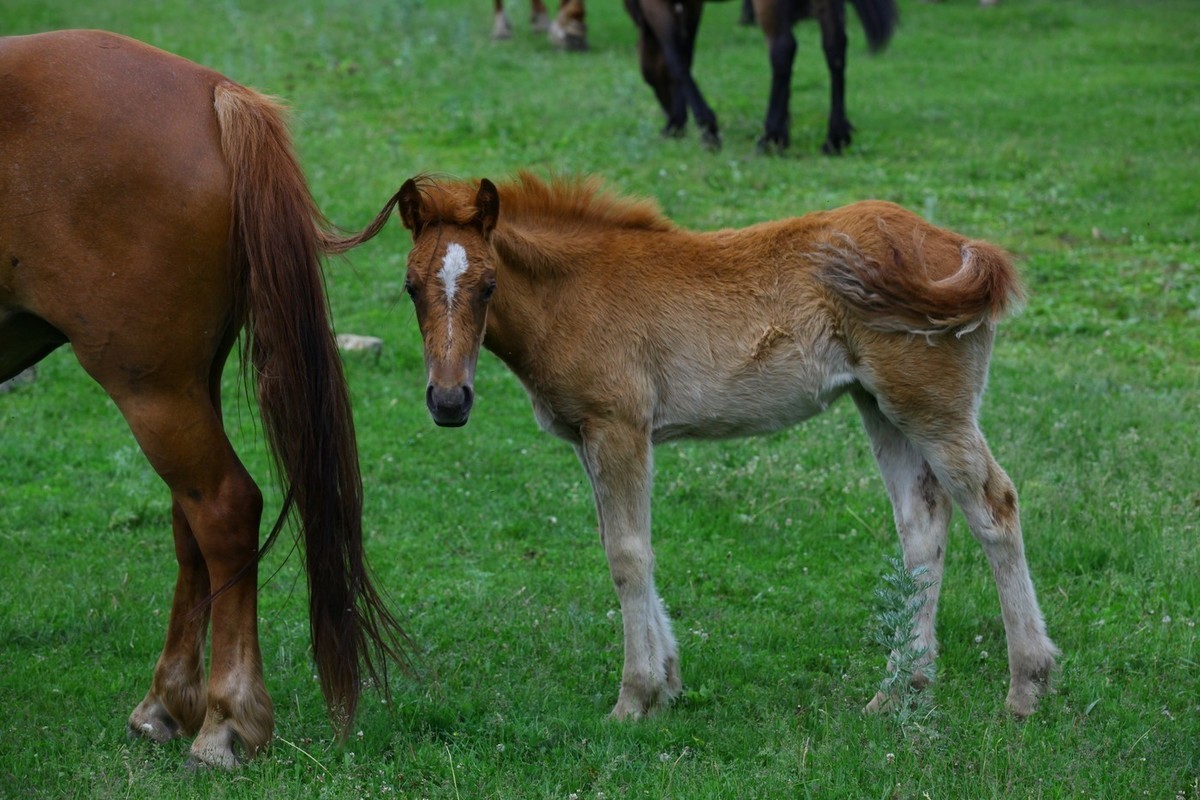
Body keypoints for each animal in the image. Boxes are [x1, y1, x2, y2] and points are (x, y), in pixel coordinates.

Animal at [0, 29, 405, 767]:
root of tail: (215, 93)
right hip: (186, 384)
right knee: (191, 522)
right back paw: (168, 701)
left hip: (151, 388)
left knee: (223, 508)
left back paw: (225, 719)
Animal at [388, 170, 1056, 719]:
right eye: (411, 286)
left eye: (489, 285)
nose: (449, 402)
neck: (572, 293)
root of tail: (964, 248)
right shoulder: (589, 436)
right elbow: (621, 545)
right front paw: (668, 681)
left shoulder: (618, 427)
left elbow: (627, 555)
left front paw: (635, 698)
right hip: (883, 408)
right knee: (922, 525)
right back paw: (898, 691)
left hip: (932, 409)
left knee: (995, 508)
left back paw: (1026, 686)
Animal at [624, 0, 897, 153]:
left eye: (649, 79)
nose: (671, 115)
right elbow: (685, 53)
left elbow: (677, 59)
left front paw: (705, 127)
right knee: (835, 47)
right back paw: (835, 137)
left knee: (783, 48)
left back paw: (770, 137)